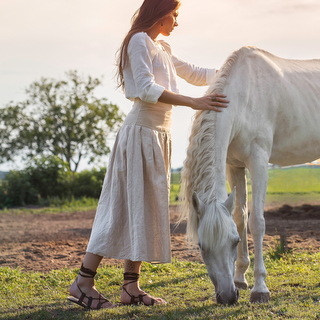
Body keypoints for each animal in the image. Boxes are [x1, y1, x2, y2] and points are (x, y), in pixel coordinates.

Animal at [179, 46, 320, 304]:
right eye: (201, 246)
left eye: (233, 242)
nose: (227, 297)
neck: (244, 97)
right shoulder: (234, 166)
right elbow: (239, 216)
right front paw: (240, 278)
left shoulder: (259, 162)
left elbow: (257, 222)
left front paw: (260, 288)